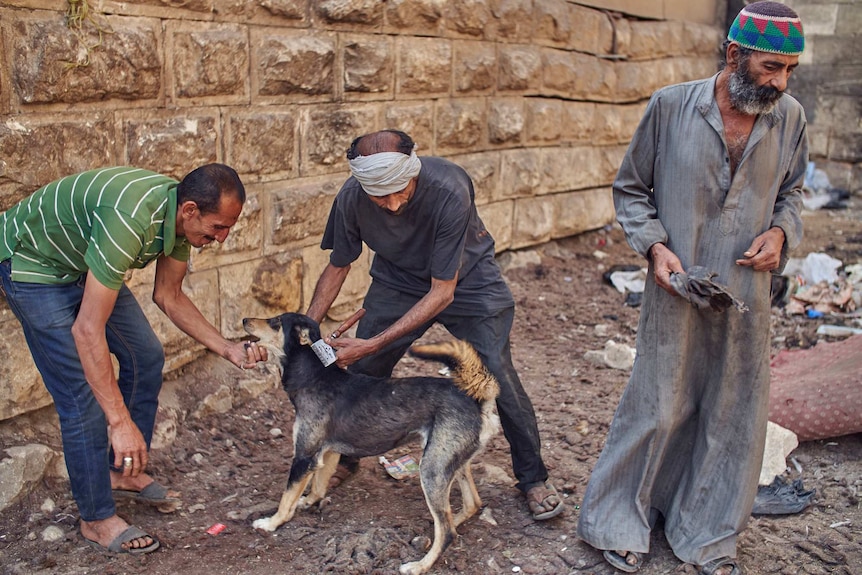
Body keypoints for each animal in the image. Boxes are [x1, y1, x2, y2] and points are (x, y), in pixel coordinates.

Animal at [241, 316, 500, 575]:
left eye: (275, 322)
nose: (244, 319)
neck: (315, 377)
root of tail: (476, 400)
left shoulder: (304, 456)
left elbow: (286, 499)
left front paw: (271, 523)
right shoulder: (329, 452)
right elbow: (318, 486)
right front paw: (307, 501)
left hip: (431, 469)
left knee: (447, 532)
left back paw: (419, 565)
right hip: (451, 461)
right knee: (470, 505)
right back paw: (451, 520)